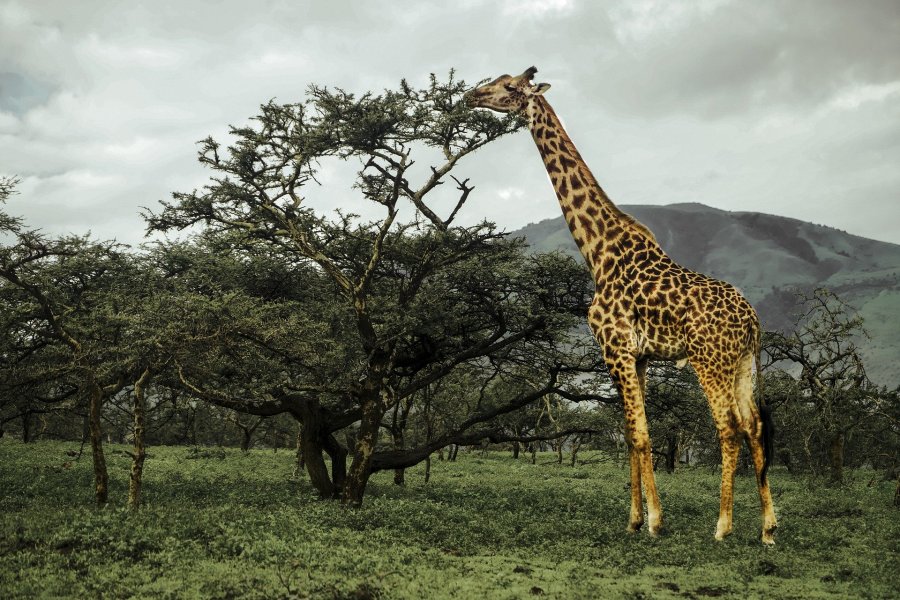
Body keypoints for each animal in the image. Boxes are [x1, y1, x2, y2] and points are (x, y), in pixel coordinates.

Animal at [468, 65, 776, 544]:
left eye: (510, 87)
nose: (470, 95)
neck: (598, 252)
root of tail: (753, 320)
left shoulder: (614, 347)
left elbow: (641, 434)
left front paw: (653, 521)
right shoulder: (640, 355)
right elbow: (633, 434)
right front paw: (633, 518)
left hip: (709, 360)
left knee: (727, 428)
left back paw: (722, 526)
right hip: (742, 362)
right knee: (754, 427)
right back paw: (768, 528)